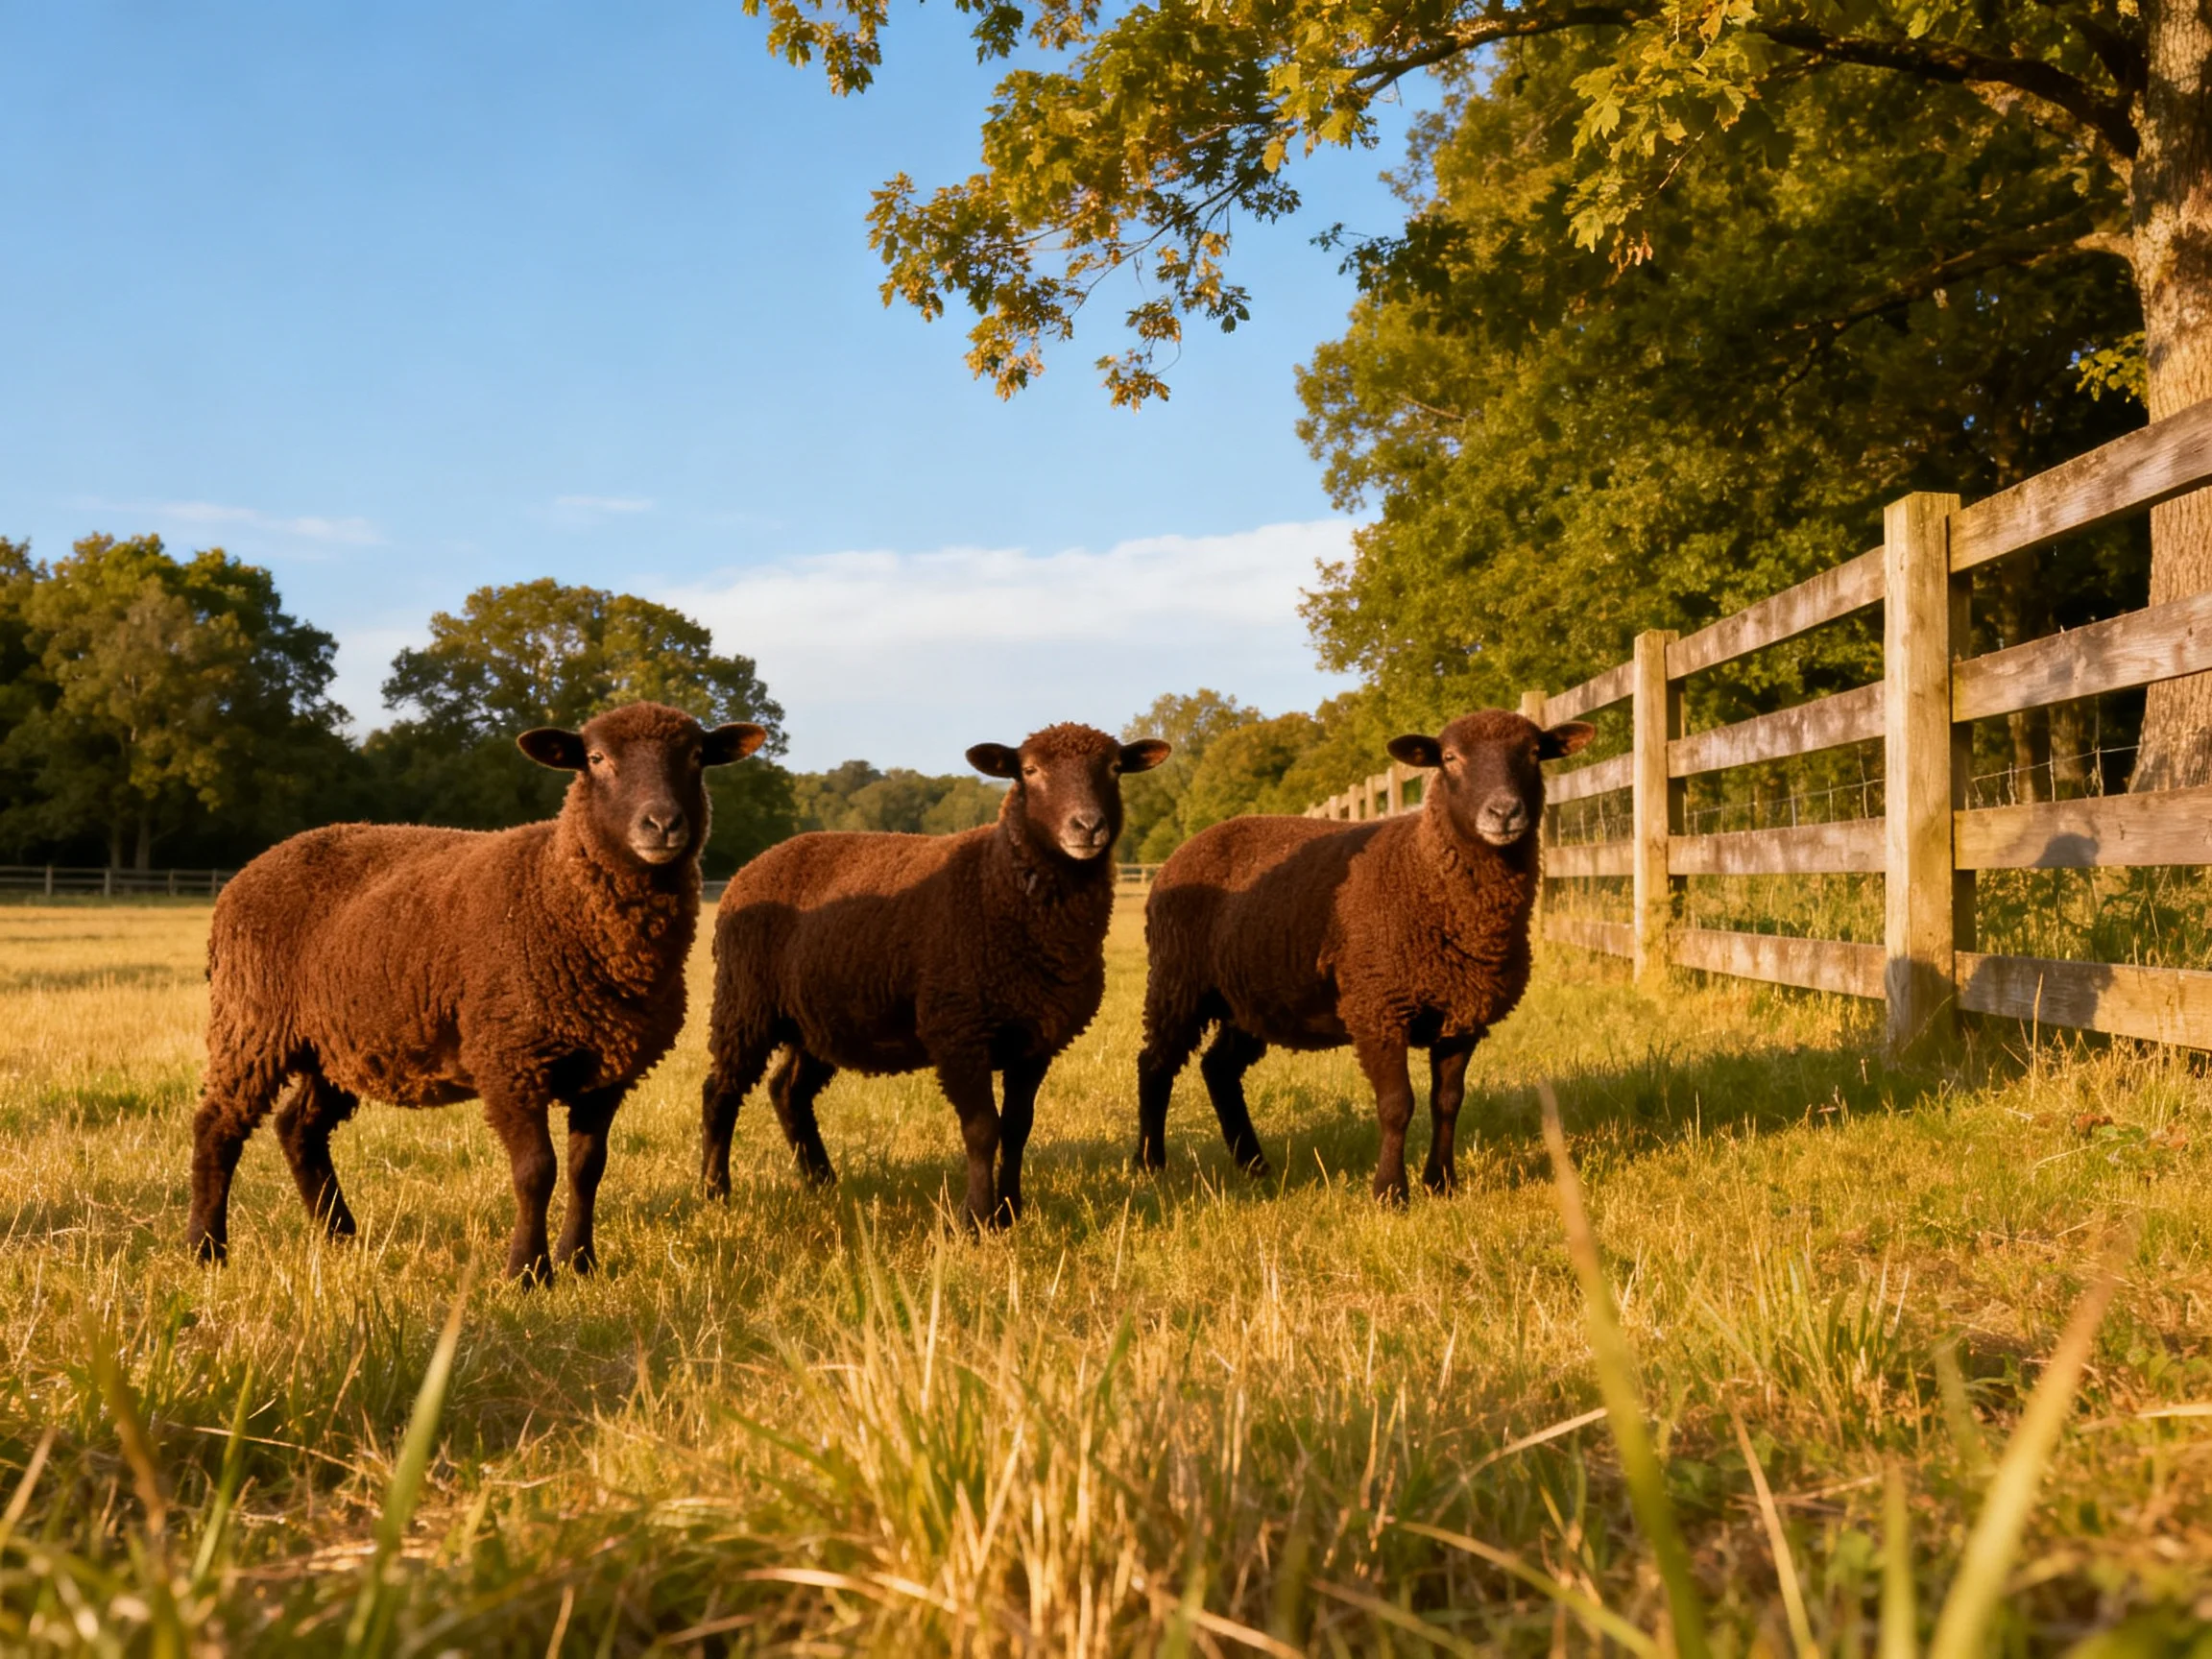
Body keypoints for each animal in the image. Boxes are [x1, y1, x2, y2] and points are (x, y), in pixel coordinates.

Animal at [186, 701, 767, 1281]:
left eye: (696, 755)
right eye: (597, 759)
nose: (662, 823)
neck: (557, 888)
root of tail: (252, 868)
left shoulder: (608, 1069)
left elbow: (588, 1169)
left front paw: (580, 1262)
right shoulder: (509, 1058)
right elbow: (536, 1170)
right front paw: (527, 1272)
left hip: (338, 1045)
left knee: (298, 1128)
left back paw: (340, 1235)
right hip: (252, 1022)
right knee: (217, 1126)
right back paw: (206, 1247)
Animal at [701, 722, 1170, 1227]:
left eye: (1115, 768)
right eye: (1029, 771)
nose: (1087, 826)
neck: (995, 880)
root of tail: (755, 865)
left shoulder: (1035, 1041)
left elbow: (1017, 1128)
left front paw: (1011, 1210)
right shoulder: (958, 1031)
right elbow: (983, 1130)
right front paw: (976, 1219)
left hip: (818, 1020)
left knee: (788, 1091)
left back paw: (822, 1182)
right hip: (744, 1002)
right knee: (720, 1091)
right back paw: (715, 1191)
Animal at [1134, 708, 1594, 1202]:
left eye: (1534, 753)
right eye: (1450, 758)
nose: (1504, 811)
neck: (1423, 869)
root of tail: (1184, 850)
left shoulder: (1462, 1016)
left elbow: (1448, 1102)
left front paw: (1441, 1183)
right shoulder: (1378, 1006)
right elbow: (1396, 1105)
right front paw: (1390, 1192)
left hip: (1250, 999)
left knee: (1218, 1069)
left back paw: (1254, 1164)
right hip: (1177, 980)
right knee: (1155, 1065)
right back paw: (1149, 1163)